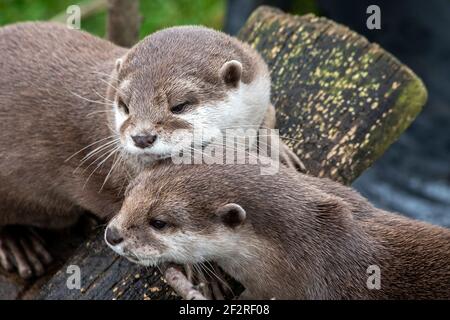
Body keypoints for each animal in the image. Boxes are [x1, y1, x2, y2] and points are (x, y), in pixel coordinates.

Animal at [0, 21, 298, 278]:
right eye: (124, 105)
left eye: (180, 105)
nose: (142, 137)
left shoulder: (260, 86)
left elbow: (268, 116)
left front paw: (278, 154)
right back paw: (18, 245)